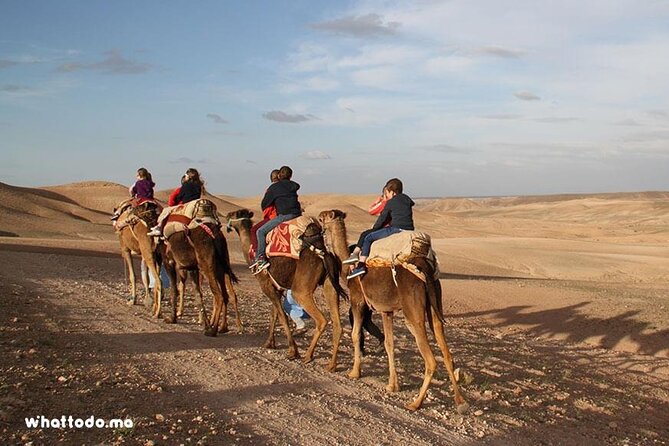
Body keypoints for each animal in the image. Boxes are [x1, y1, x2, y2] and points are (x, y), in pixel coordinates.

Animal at [162, 199, 241, 336]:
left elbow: (174, 290)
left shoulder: (169, 262)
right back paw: (222, 328)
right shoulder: (192, 268)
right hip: (220, 267)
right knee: (226, 295)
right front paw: (205, 323)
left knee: (219, 296)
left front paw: (172, 318)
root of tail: (216, 235)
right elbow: (198, 294)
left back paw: (213, 330)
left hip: (206, 266)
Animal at [225, 209, 347, 370]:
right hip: (330, 285)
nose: (225, 218)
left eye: (233, 215)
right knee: (337, 324)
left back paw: (308, 356)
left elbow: (282, 316)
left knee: (321, 320)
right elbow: (274, 314)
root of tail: (323, 254)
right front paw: (269, 343)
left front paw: (292, 351)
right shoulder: (277, 288)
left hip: (300, 290)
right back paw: (331, 365)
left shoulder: (266, 285)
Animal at [318, 209, 468, 412]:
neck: (346, 266)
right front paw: (392, 385)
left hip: (412, 311)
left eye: (321, 218)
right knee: (446, 350)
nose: (318, 224)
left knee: (430, 359)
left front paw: (354, 372)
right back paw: (460, 402)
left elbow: (355, 334)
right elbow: (389, 343)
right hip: (435, 302)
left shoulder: (358, 300)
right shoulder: (386, 310)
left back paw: (415, 403)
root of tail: (424, 266)